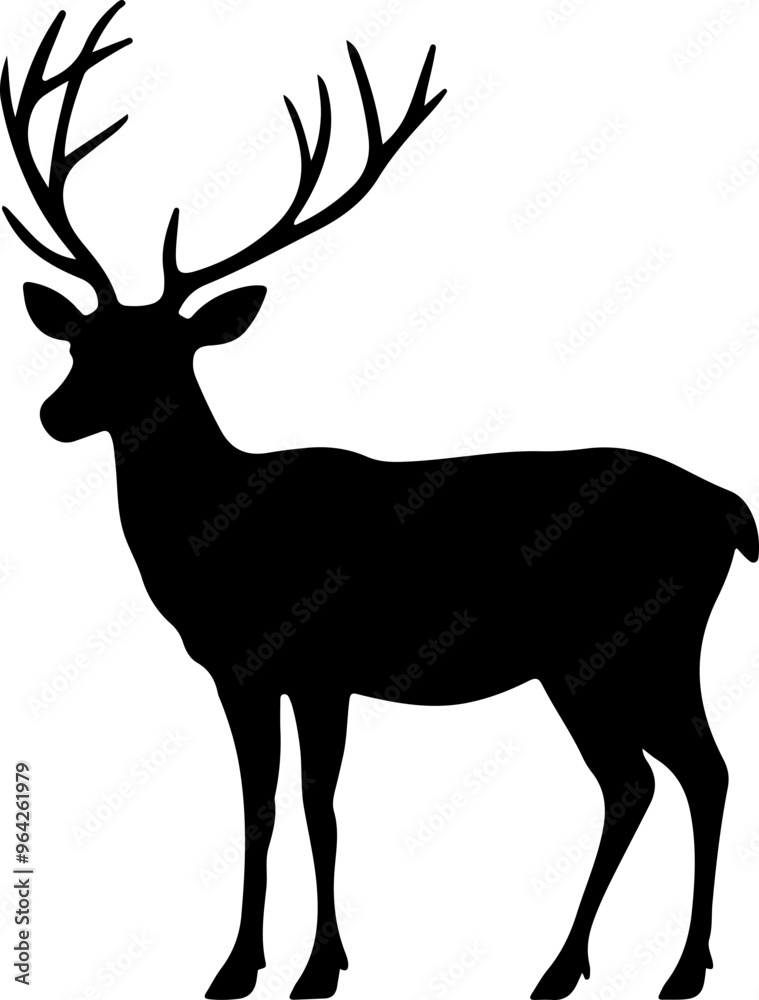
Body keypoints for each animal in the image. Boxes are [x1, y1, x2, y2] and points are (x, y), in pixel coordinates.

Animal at [3, 4, 757, 999]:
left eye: (164, 354)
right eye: (79, 342)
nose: (53, 415)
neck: (217, 540)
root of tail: (731, 509)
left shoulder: (318, 661)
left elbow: (313, 805)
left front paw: (305, 969)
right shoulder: (244, 670)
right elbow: (261, 807)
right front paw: (250, 964)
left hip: (622, 644)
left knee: (672, 773)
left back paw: (631, 969)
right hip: (616, 656)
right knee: (664, 775)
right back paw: (612, 967)